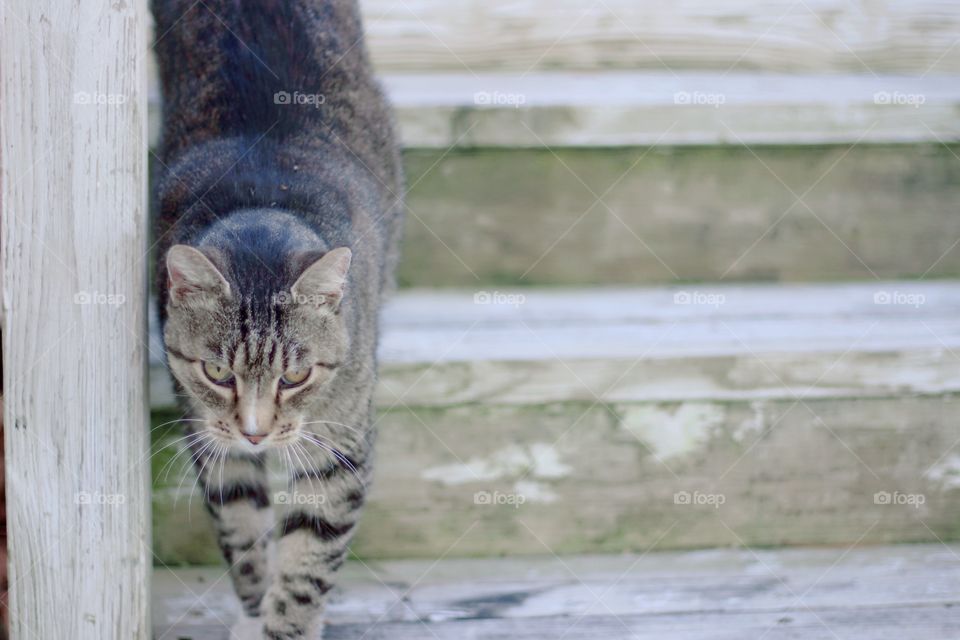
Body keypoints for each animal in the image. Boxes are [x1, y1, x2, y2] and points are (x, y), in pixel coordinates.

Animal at [149, 1, 402, 636]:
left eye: (296, 376)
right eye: (217, 373)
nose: (256, 432)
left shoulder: (340, 443)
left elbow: (308, 562)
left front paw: (284, 622)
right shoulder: (210, 435)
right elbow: (243, 531)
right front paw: (253, 608)